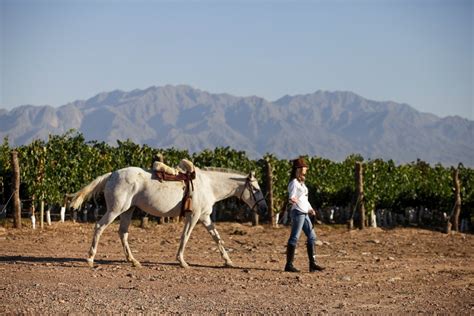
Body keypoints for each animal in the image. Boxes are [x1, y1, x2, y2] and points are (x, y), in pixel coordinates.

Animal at [68, 167, 266, 268]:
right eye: (256, 189)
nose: (264, 208)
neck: (208, 185)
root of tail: (111, 175)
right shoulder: (193, 217)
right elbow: (185, 237)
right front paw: (182, 261)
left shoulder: (205, 217)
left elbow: (217, 238)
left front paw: (228, 261)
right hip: (115, 210)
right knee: (99, 227)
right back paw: (90, 258)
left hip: (127, 211)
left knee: (123, 233)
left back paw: (133, 260)